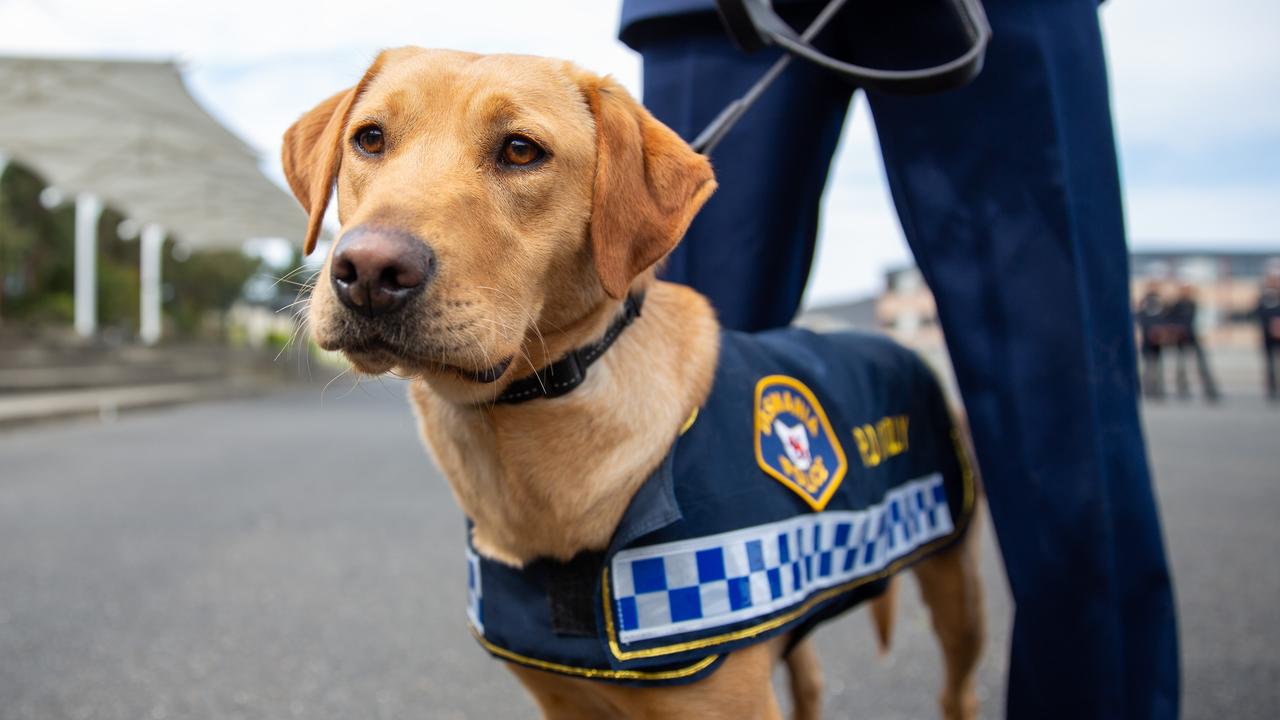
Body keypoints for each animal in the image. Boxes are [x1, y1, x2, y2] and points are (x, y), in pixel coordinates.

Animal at [282, 47, 977, 712]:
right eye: (370, 139)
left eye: (520, 150)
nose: (369, 271)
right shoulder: (564, 701)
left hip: (955, 585)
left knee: (956, 689)